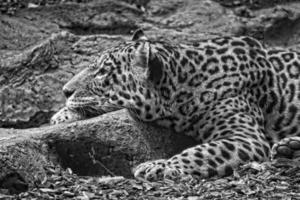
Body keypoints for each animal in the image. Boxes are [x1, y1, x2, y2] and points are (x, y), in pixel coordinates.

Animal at [51, 29, 300, 181]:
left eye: (103, 72)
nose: (65, 90)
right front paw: (61, 115)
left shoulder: (246, 137)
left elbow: (203, 151)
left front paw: (160, 166)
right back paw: (288, 147)